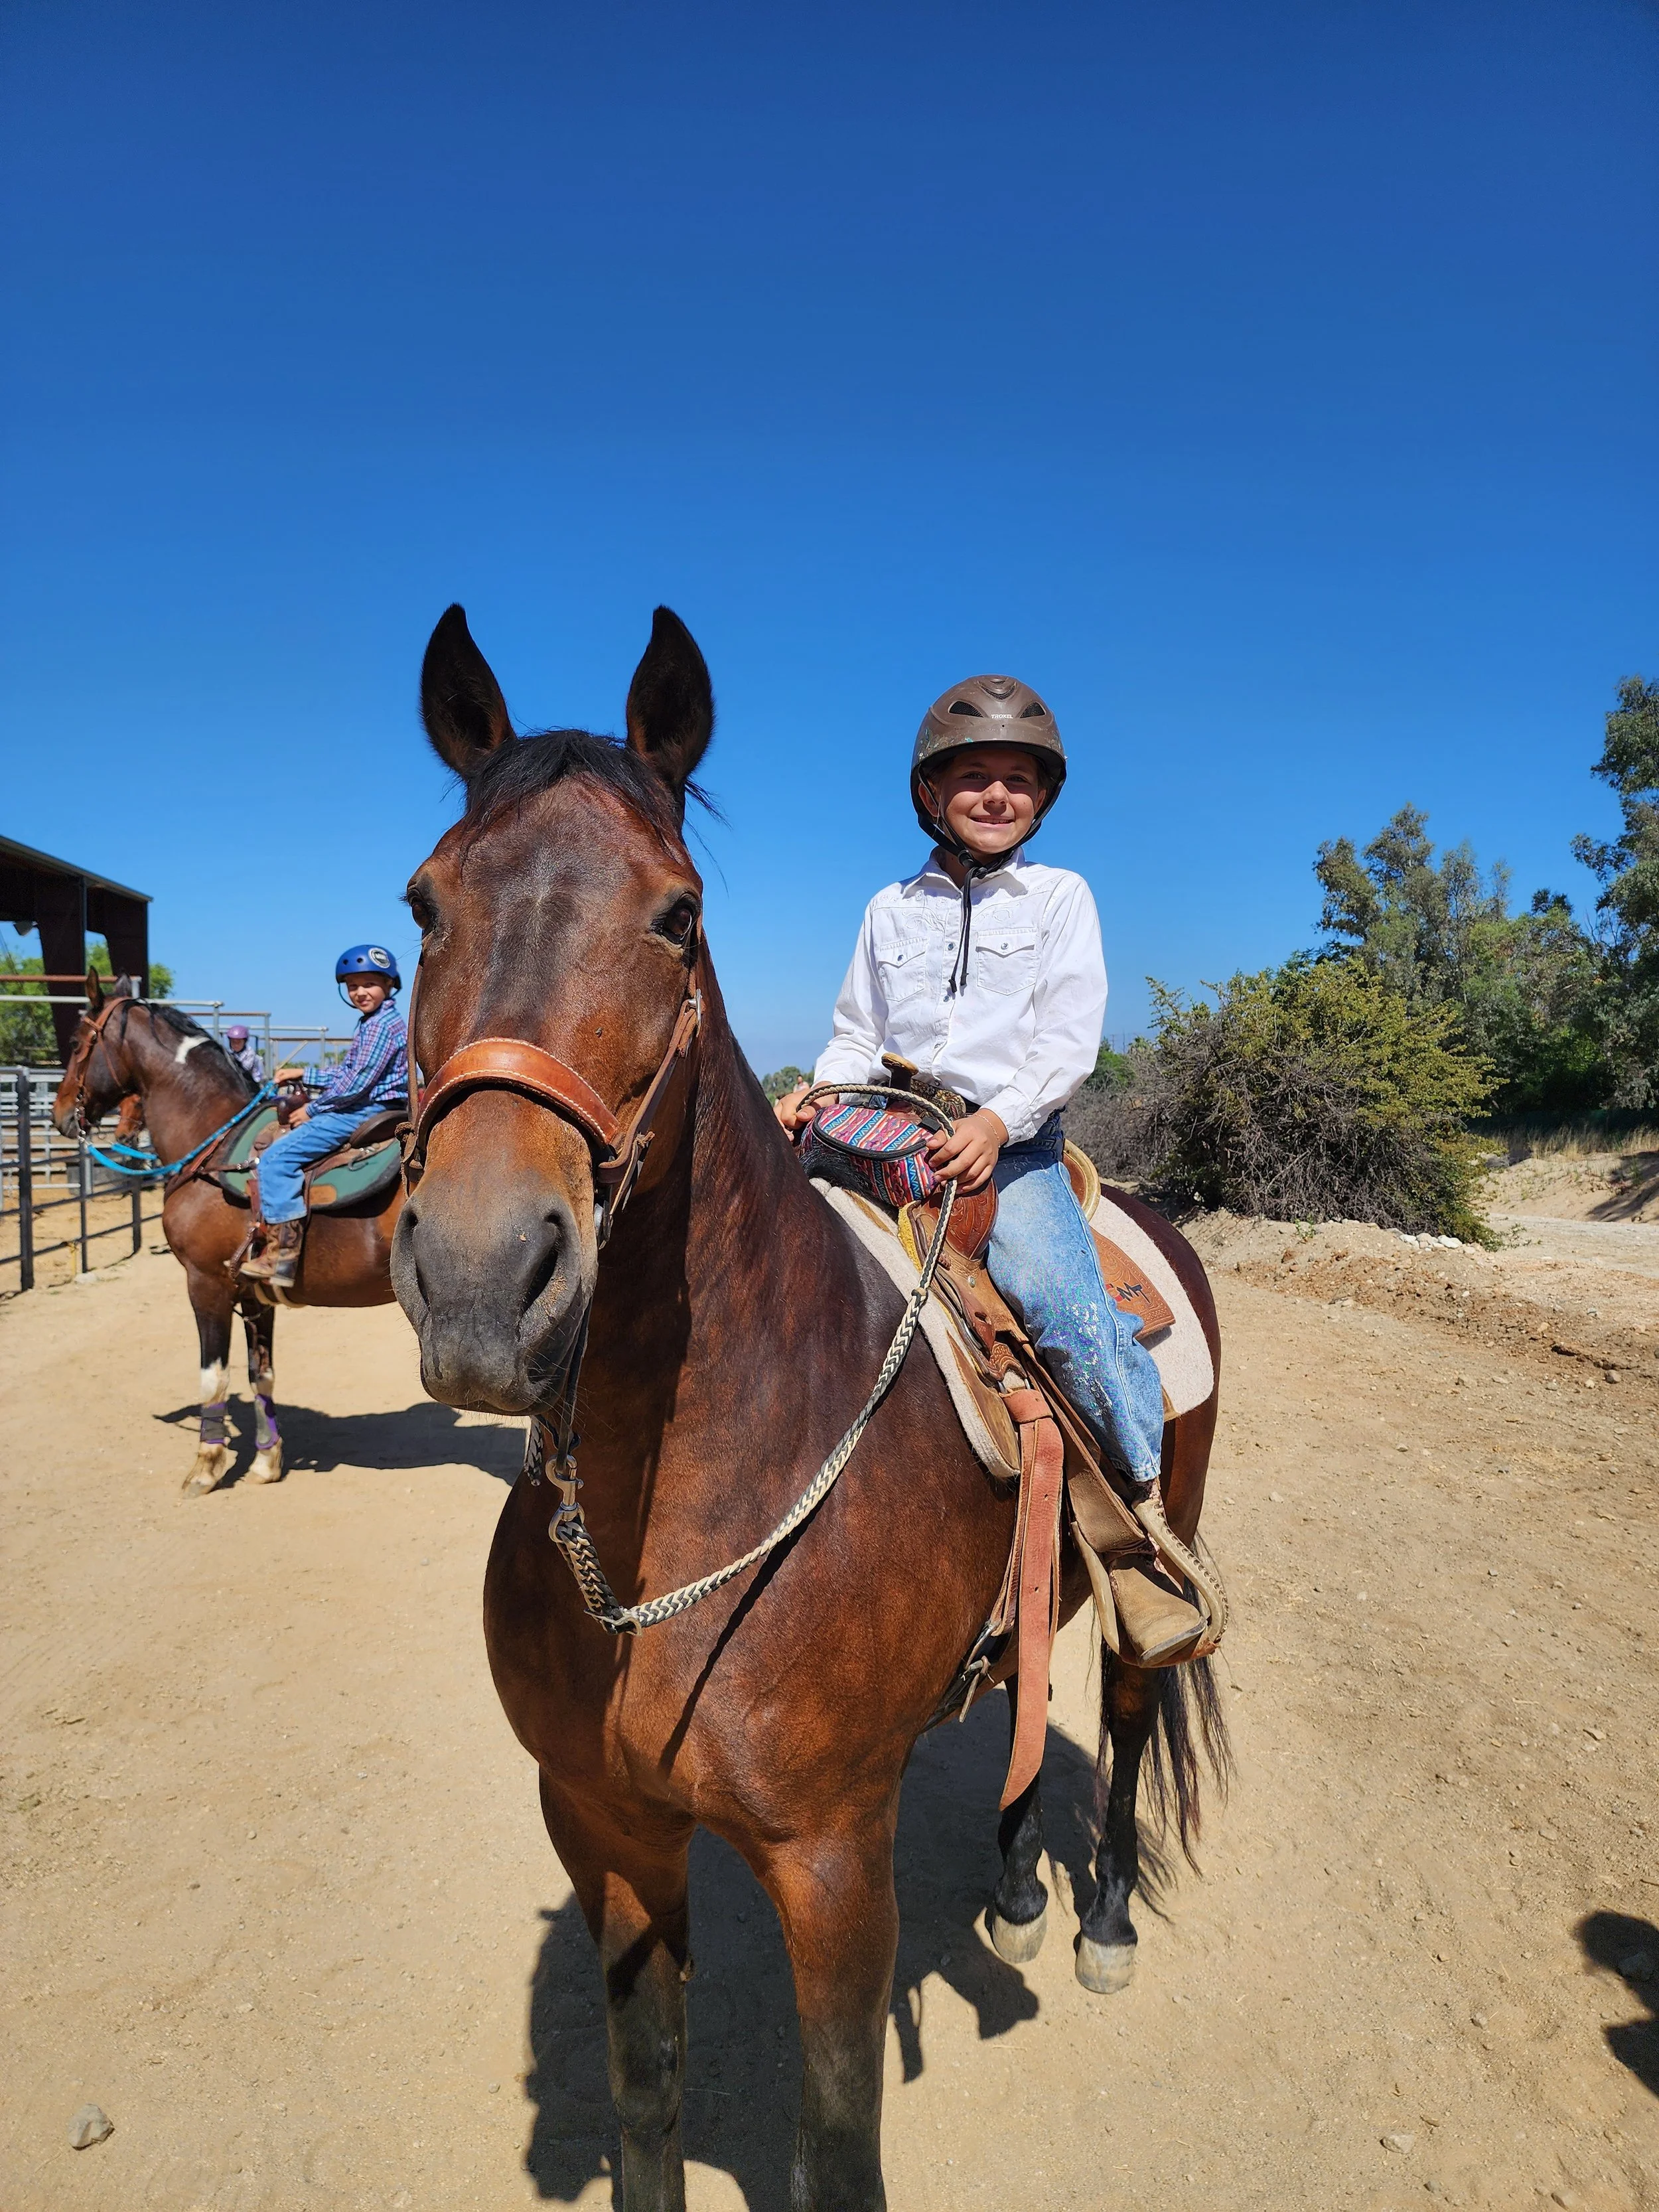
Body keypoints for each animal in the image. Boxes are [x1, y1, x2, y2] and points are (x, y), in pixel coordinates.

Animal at [52, 974, 401, 1496]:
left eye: (76, 1044)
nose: (58, 1115)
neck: (213, 1145)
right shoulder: (255, 1297)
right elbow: (263, 1375)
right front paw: (266, 1461)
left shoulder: (206, 1283)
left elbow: (212, 1377)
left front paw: (206, 1465)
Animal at [393, 602, 1231, 2211]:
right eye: (422, 906)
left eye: (676, 914)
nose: (476, 1276)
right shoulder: (605, 1825)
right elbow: (644, 2099)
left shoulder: (835, 1864)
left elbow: (836, 2151)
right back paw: (1018, 1888)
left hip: (1158, 1551)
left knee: (1129, 1689)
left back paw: (1097, 1918)